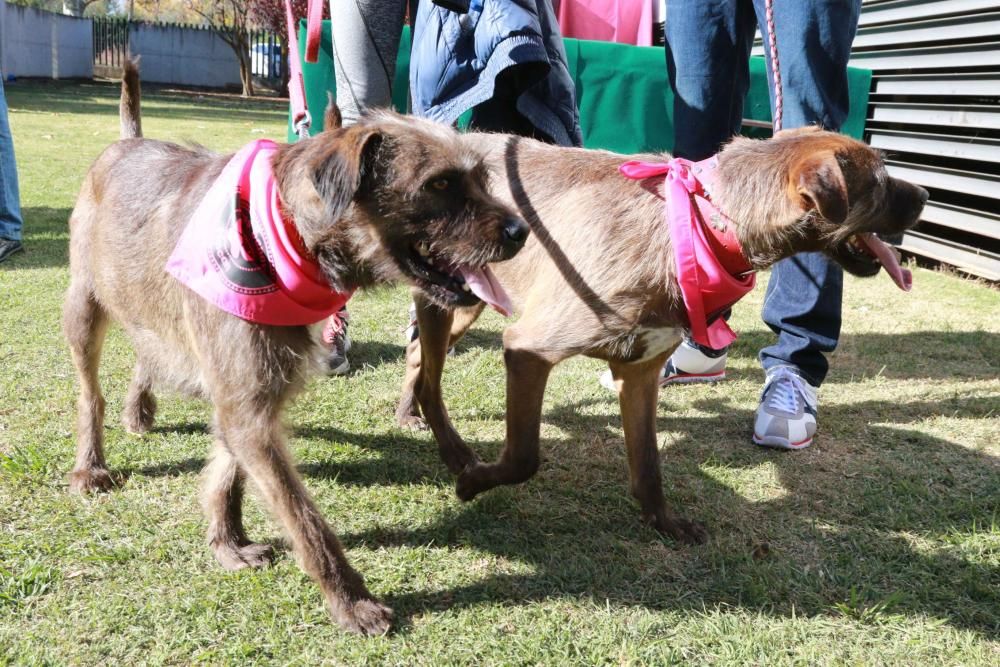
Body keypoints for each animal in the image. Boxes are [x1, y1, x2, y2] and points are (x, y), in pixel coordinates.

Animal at [64, 62, 532, 636]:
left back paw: (139, 408)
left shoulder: (248, 399)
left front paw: (225, 541)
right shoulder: (249, 407)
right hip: (83, 309)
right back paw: (90, 464)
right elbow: (303, 518)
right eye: (440, 184)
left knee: (147, 352)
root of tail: (127, 142)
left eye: (483, 180)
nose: (521, 230)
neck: (286, 232)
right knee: (90, 394)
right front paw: (351, 601)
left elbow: (227, 472)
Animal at [398, 128, 928, 544]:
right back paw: (448, 446)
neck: (704, 220)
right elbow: (525, 456)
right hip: (445, 297)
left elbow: (649, 464)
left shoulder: (640, 372)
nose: (925, 196)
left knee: (418, 357)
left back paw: (411, 414)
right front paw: (472, 483)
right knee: (430, 375)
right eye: (880, 181)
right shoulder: (529, 349)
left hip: (467, 299)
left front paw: (663, 521)